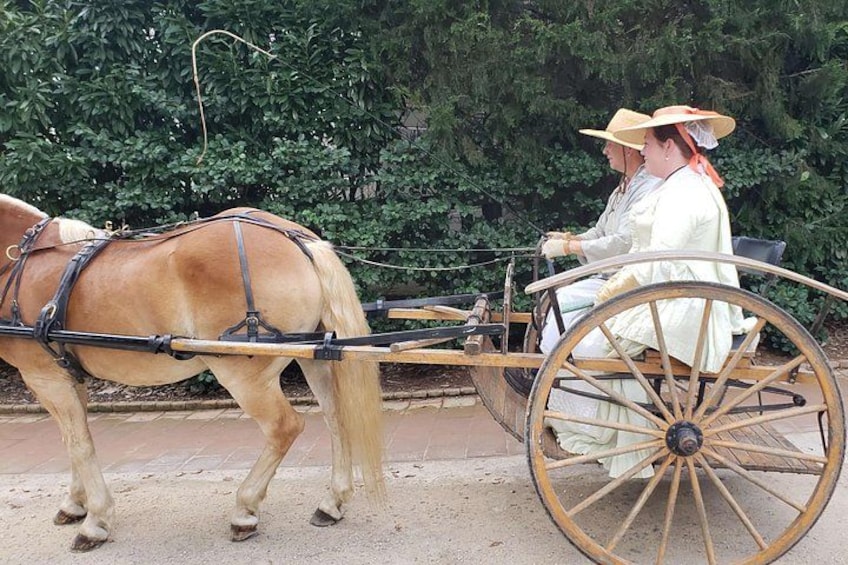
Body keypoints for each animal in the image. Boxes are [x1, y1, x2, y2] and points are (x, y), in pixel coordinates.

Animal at [0, 194, 384, 551]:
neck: (21, 265)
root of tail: (298, 240)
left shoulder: (44, 377)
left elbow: (78, 443)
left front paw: (95, 521)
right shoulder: (66, 375)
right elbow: (74, 439)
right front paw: (75, 504)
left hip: (242, 374)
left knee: (284, 427)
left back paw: (244, 511)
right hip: (313, 356)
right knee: (335, 416)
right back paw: (331, 502)